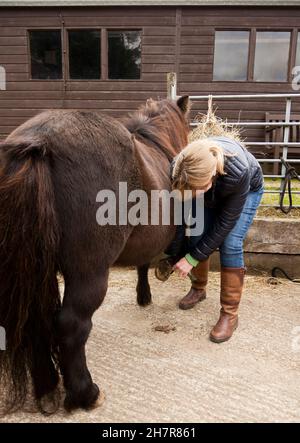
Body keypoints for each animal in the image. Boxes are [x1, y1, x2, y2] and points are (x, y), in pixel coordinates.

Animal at [0, 95, 190, 414]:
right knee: (72, 325)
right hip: (88, 273)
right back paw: (85, 393)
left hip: (37, 271)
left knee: (36, 321)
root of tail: (39, 141)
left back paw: (46, 388)